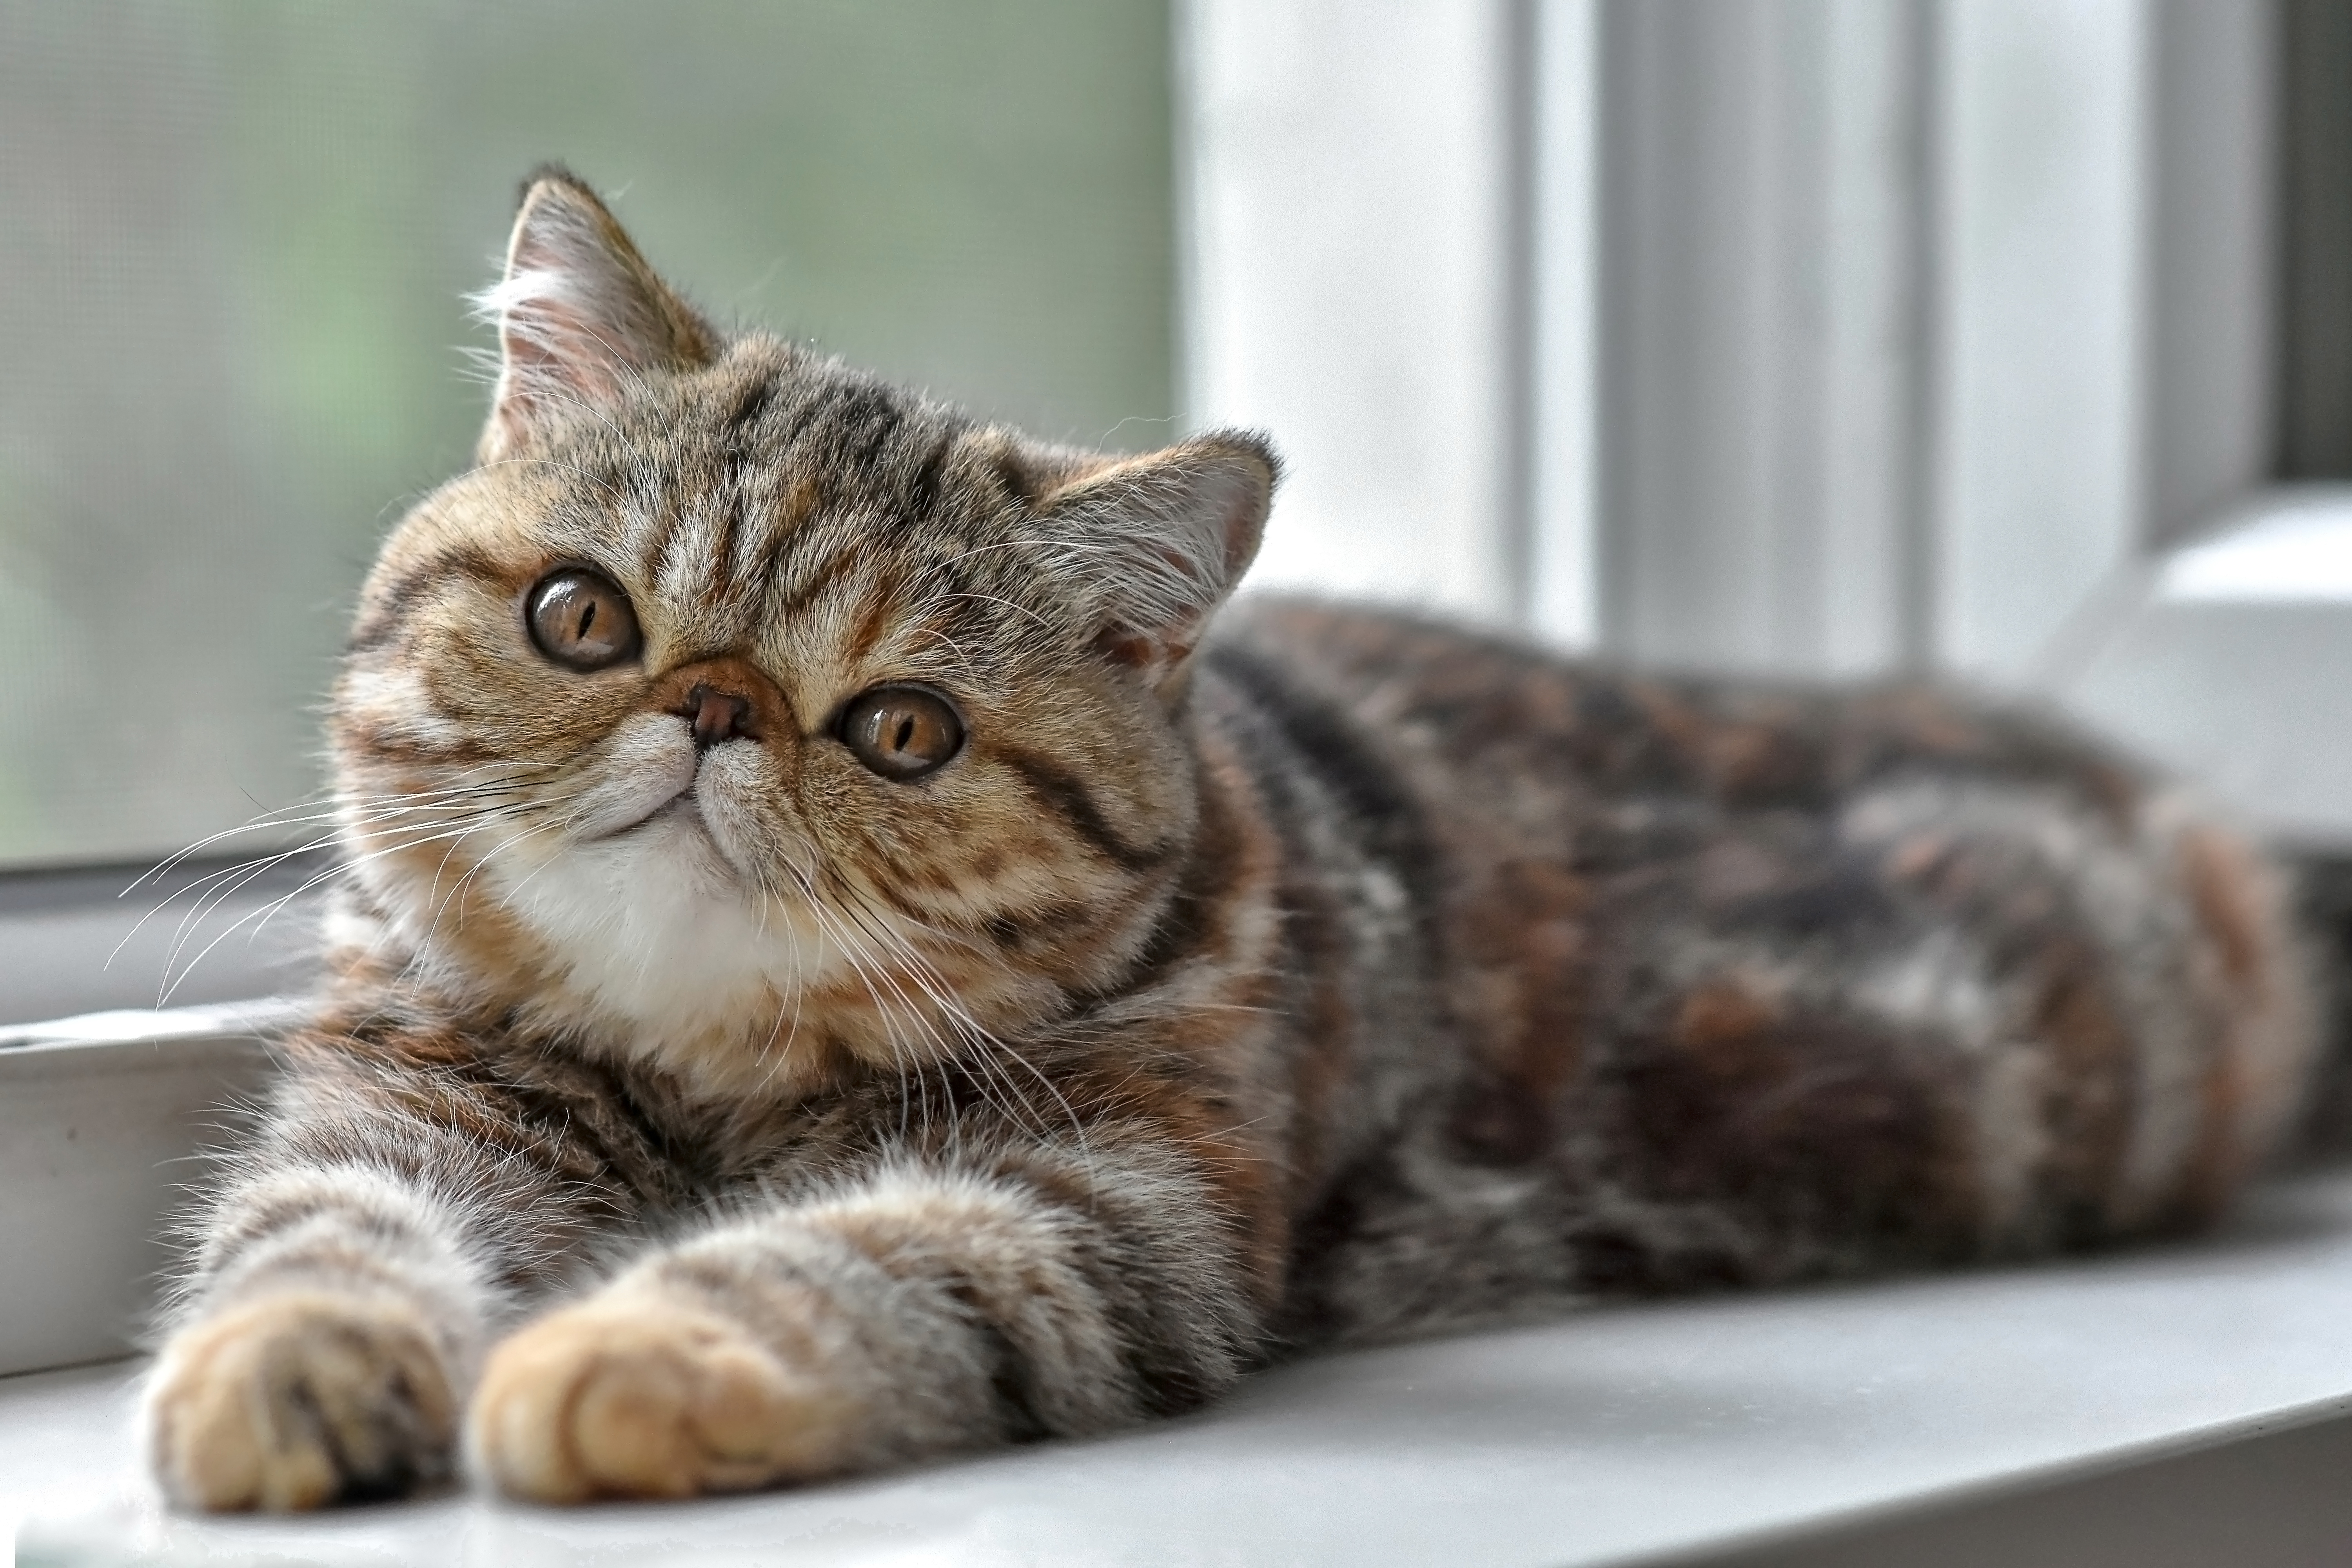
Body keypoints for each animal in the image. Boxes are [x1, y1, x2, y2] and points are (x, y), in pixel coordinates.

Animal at [142, 169, 2314, 1504]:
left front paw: (635, 1351)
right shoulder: (408, 1094)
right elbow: (315, 1228)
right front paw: (289, 1366)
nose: (717, 711)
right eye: (585, 617)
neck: (706, 1071)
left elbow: (868, 1253)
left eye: (901, 728)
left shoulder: (1111, 1196)